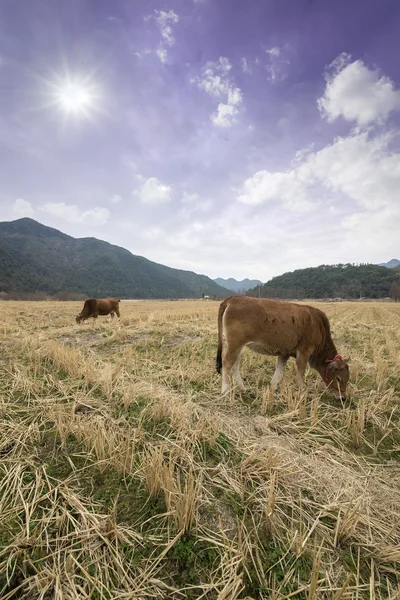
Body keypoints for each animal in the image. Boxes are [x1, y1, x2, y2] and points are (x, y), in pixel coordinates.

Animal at [216, 298, 350, 400]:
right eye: (338, 378)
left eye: (347, 379)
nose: (343, 397)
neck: (319, 328)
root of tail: (232, 299)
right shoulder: (304, 352)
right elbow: (300, 372)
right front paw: (303, 391)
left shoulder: (285, 353)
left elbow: (279, 367)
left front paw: (273, 386)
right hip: (235, 344)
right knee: (227, 363)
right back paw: (225, 391)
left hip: (235, 345)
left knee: (235, 364)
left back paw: (242, 388)